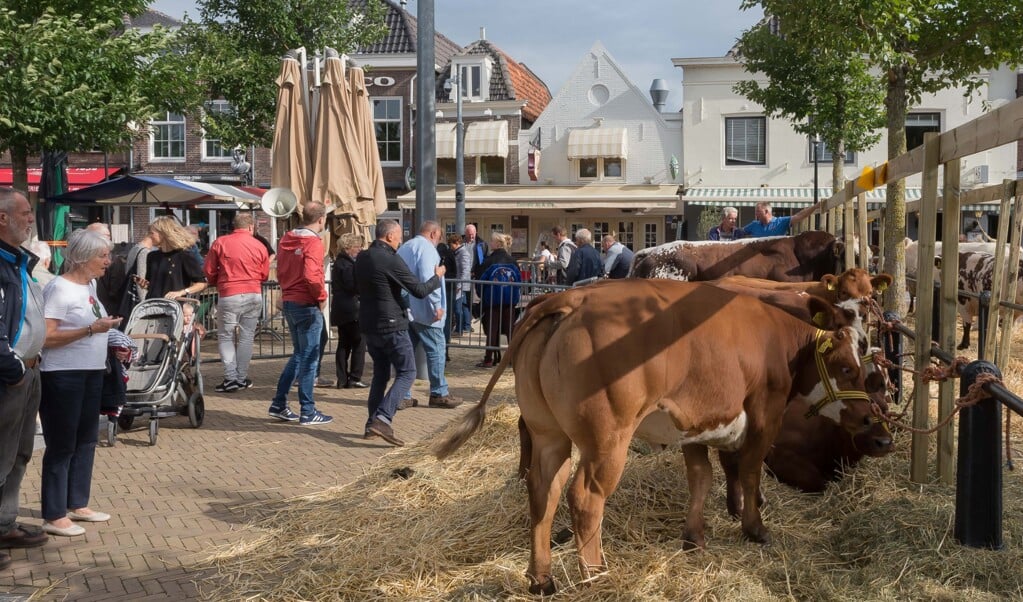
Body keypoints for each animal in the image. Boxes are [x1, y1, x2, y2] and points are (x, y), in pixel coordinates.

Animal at [431, 280, 879, 593]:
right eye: (848, 369)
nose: (870, 420)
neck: (778, 339)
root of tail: (572, 299)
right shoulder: (764, 414)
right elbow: (750, 472)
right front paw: (755, 528)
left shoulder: (697, 422)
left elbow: (701, 479)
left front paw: (694, 538)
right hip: (607, 440)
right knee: (584, 496)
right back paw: (596, 573)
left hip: (548, 433)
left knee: (545, 491)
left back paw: (542, 579)